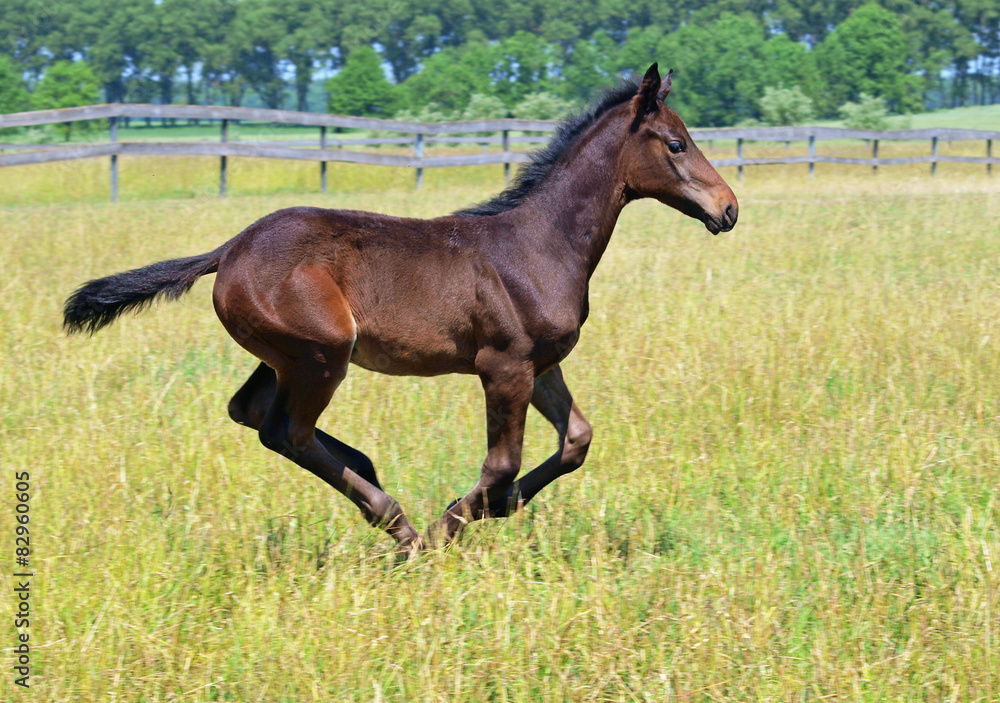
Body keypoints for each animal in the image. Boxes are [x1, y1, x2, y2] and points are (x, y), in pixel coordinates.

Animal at [63, 64, 738, 553]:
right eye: (676, 143)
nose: (728, 208)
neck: (539, 244)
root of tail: (229, 249)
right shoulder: (504, 367)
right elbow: (501, 463)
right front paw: (449, 526)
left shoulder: (542, 365)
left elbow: (576, 441)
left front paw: (499, 507)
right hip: (323, 353)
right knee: (287, 430)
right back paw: (399, 524)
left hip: (286, 355)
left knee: (251, 411)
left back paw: (371, 478)